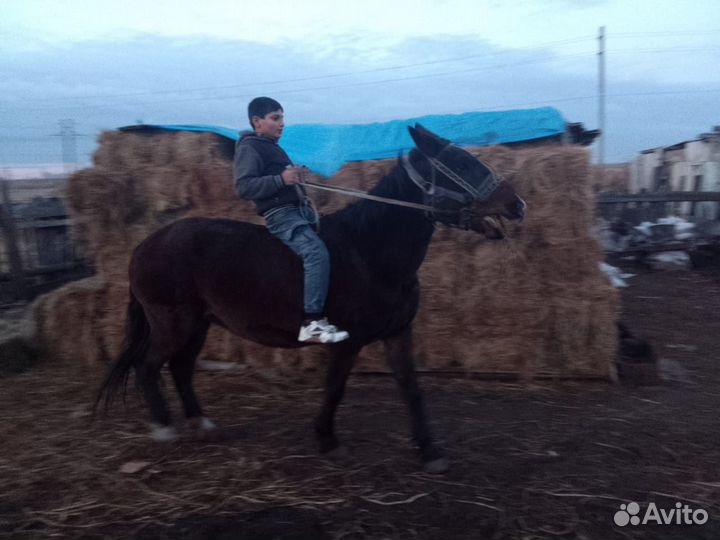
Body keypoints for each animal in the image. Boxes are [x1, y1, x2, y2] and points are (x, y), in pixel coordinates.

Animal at [96, 124, 526, 473]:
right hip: (172, 322)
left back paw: (203, 425)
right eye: (460, 164)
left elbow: (411, 388)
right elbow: (335, 387)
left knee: (181, 369)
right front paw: (327, 440)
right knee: (149, 366)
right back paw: (164, 429)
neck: (369, 251)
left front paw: (429, 451)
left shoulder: (398, 333)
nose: (518, 204)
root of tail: (145, 245)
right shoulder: (347, 342)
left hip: (198, 324)